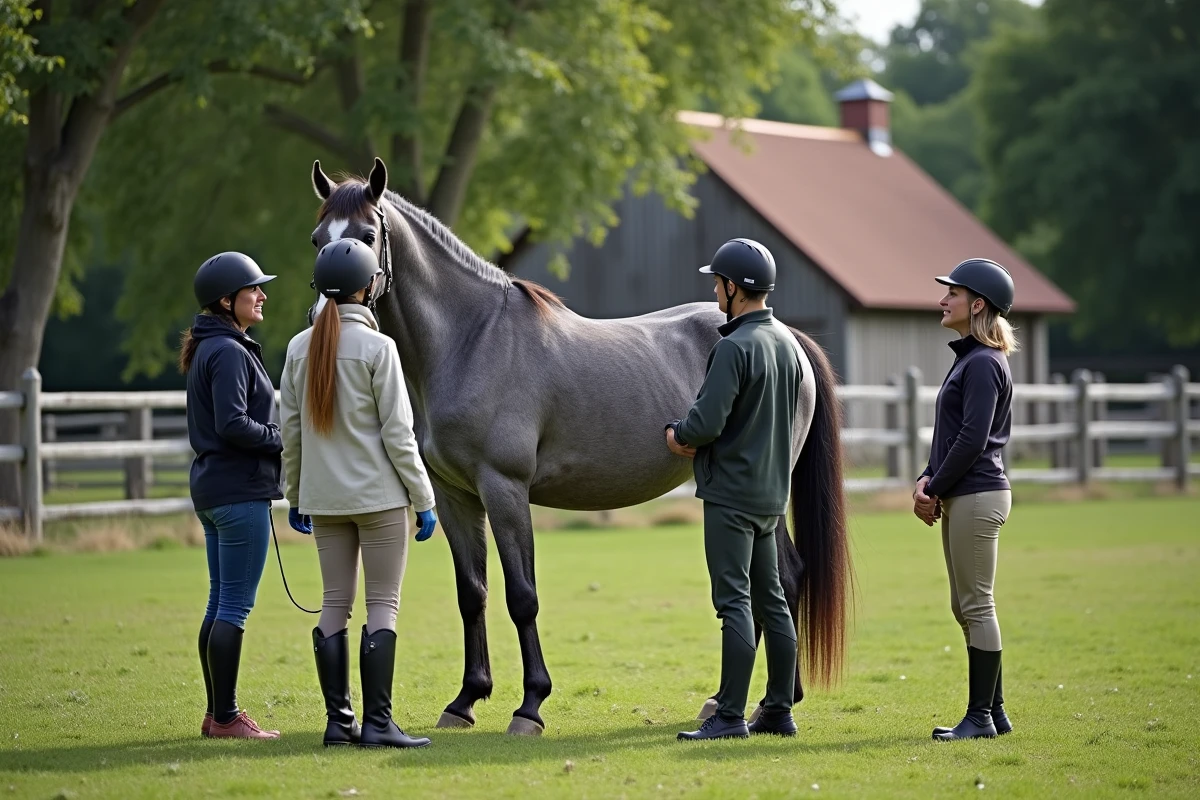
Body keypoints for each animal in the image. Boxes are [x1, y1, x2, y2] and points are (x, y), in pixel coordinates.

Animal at [305, 157, 851, 736]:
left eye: (367, 236)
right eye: (318, 238)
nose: (324, 318)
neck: (472, 340)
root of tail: (785, 335)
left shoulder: (504, 490)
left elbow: (522, 597)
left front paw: (529, 706)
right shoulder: (454, 497)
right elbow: (472, 594)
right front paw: (466, 700)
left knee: (786, 577)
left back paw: (772, 704)